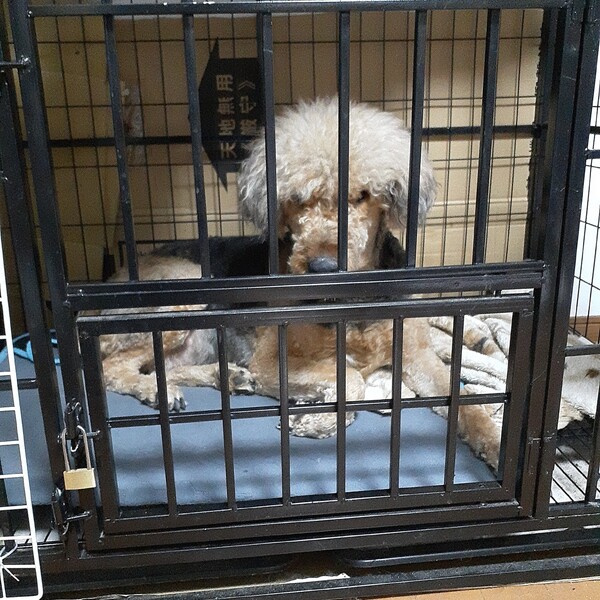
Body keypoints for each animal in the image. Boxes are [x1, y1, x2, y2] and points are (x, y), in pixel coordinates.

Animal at [238, 97, 502, 468]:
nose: (322, 267)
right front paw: (316, 418)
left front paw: (494, 441)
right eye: (297, 198)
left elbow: (461, 397)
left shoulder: (416, 356)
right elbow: (350, 378)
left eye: (362, 195)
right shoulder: (268, 362)